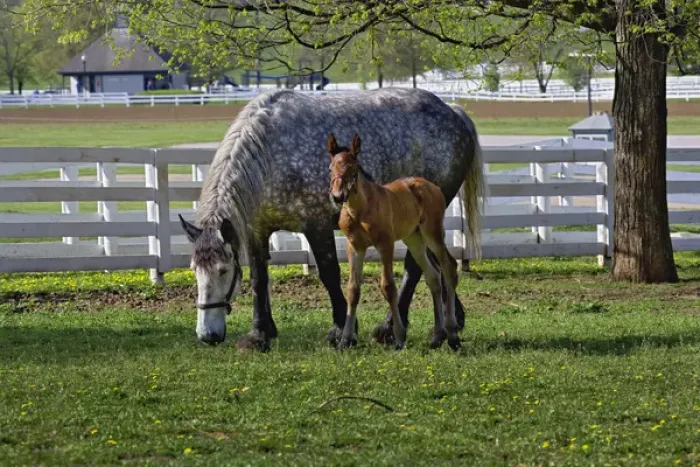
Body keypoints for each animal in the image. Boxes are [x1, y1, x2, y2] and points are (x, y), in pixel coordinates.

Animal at [328, 133, 462, 351]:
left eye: (353, 169)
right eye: (330, 168)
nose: (338, 196)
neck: (360, 210)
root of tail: (432, 186)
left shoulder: (385, 244)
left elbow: (388, 286)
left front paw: (399, 336)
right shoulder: (354, 246)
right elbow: (353, 289)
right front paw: (346, 339)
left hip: (432, 233)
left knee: (449, 266)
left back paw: (452, 335)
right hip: (413, 239)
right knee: (433, 275)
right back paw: (437, 336)